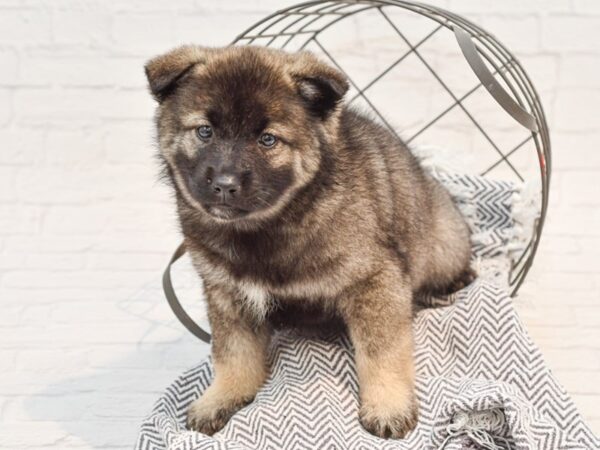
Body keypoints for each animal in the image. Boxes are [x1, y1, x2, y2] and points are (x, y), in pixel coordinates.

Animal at [145, 45, 474, 440]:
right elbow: (232, 353)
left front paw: (388, 404)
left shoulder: (376, 282)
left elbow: (382, 352)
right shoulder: (227, 292)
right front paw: (222, 396)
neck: (267, 227)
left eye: (268, 139)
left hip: (444, 241)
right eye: (205, 132)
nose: (224, 185)